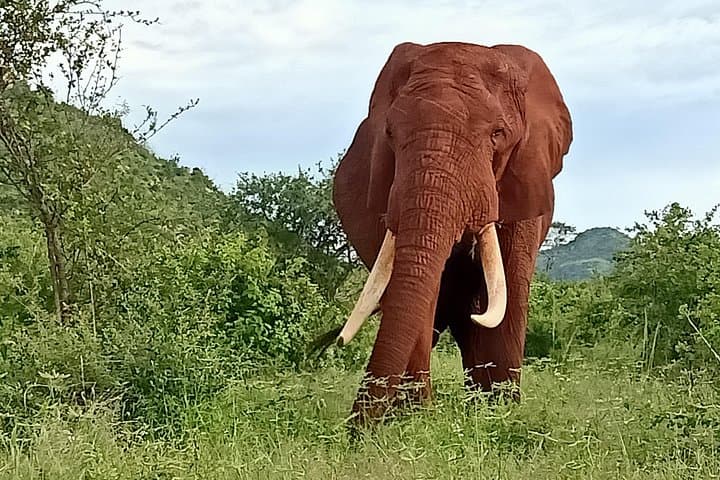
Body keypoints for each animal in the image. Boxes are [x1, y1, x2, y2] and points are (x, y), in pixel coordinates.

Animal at [325, 41, 572, 422]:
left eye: (497, 134)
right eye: (390, 134)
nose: (356, 430)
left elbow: (509, 286)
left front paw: (499, 414)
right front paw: (415, 418)